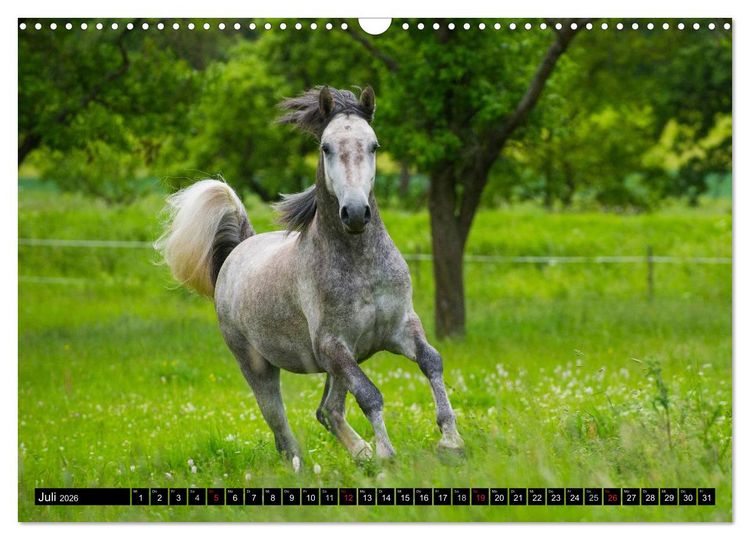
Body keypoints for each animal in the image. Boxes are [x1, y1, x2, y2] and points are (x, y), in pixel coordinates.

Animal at [156, 86, 464, 468]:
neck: (361, 266)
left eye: (374, 145)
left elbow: (431, 362)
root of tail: (238, 250)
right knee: (282, 431)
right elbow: (370, 395)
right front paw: (387, 456)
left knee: (327, 411)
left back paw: (361, 455)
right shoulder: (333, 345)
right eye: (326, 147)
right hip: (259, 366)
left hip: (340, 363)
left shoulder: (400, 328)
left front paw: (451, 442)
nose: (356, 213)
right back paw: (311, 467)